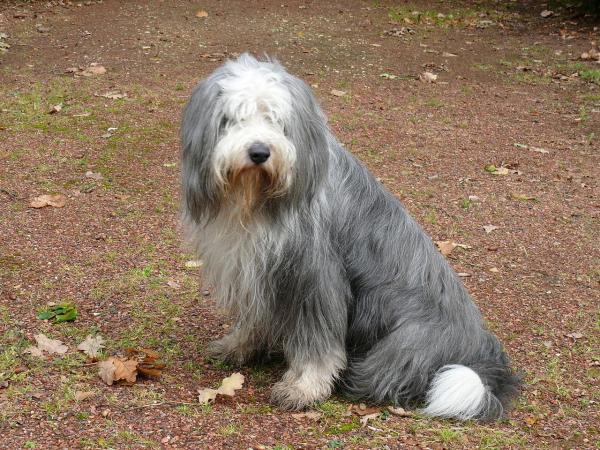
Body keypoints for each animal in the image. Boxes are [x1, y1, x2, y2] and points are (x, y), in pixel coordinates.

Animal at [179, 54, 520, 420]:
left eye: (277, 120)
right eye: (232, 117)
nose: (259, 152)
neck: (256, 200)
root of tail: (484, 357)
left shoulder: (315, 277)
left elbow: (318, 344)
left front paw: (304, 387)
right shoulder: (259, 270)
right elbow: (255, 317)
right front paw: (238, 346)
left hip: (405, 344)